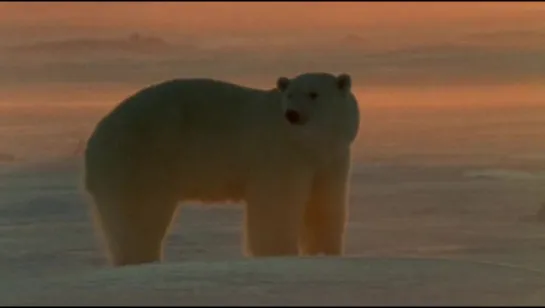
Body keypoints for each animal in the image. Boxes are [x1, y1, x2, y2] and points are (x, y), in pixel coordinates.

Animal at [83, 73, 360, 268]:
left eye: (314, 94)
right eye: (289, 95)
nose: (292, 114)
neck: (307, 144)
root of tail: (93, 141)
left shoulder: (330, 159)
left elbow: (324, 205)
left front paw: (325, 252)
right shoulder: (279, 155)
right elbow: (276, 207)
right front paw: (279, 253)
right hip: (140, 160)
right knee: (141, 216)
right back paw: (142, 260)